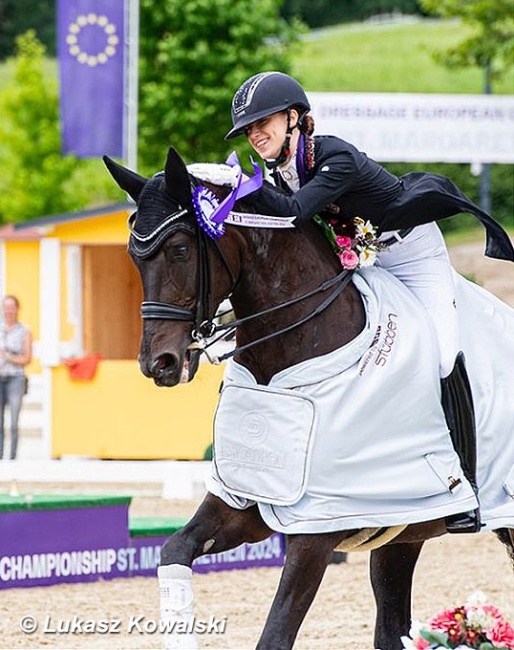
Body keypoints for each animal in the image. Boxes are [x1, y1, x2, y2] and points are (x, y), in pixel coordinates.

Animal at [105, 148, 512, 648]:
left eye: (180, 249)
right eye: (134, 256)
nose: (159, 363)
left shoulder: (317, 529)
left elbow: (275, 635)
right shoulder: (246, 504)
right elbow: (174, 550)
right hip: (404, 534)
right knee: (392, 628)